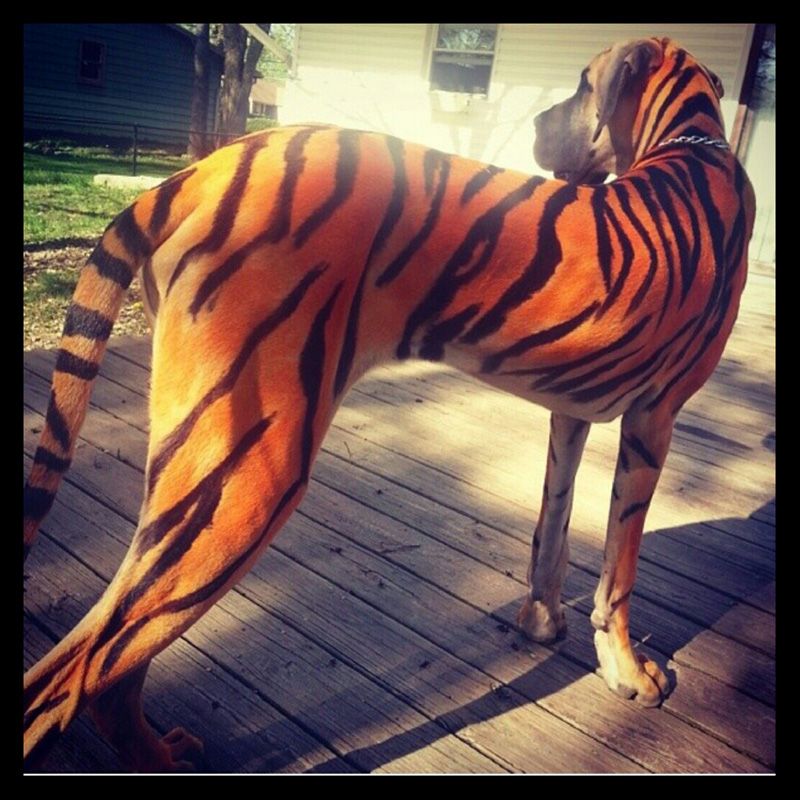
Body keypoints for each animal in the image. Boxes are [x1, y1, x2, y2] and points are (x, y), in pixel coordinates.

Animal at [23, 37, 755, 772]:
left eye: (580, 87)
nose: (538, 128)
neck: (693, 141)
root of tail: (197, 172)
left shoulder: (570, 412)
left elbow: (554, 527)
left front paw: (543, 622)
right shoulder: (653, 420)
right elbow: (620, 565)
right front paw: (627, 671)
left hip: (200, 489)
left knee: (112, 667)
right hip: (245, 480)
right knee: (68, 678)